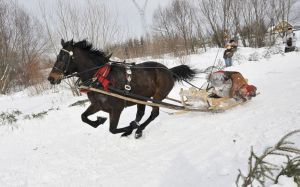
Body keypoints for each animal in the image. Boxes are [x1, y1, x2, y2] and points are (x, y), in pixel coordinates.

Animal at [47, 39, 197, 139]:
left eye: (63, 57)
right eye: (58, 56)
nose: (51, 78)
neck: (101, 78)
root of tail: (169, 70)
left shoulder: (116, 109)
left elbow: (112, 129)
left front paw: (131, 127)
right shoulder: (97, 105)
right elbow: (83, 117)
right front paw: (99, 121)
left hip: (158, 97)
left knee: (154, 114)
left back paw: (138, 129)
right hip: (141, 98)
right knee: (141, 113)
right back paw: (135, 127)